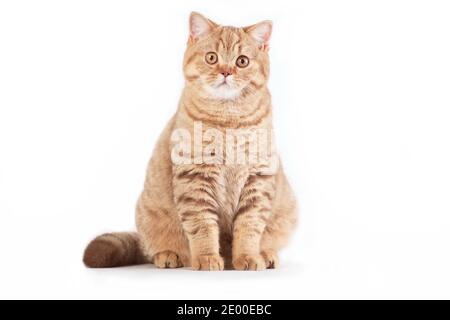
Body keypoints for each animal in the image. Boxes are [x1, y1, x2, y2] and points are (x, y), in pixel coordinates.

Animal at [82, 11, 298, 270]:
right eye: (212, 58)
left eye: (242, 61)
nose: (226, 72)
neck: (228, 121)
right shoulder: (195, 177)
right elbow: (202, 225)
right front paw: (206, 258)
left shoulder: (258, 179)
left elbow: (249, 226)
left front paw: (248, 257)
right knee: (153, 248)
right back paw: (169, 255)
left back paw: (265, 254)